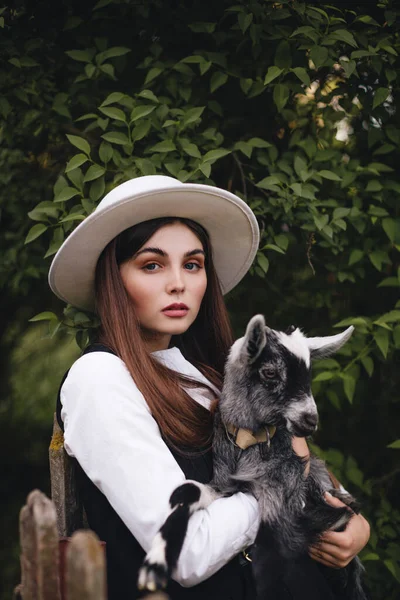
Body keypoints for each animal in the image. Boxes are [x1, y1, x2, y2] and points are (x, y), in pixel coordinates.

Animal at [139, 316, 368, 596]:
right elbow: (188, 492)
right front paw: (155, 564)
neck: (248, 444)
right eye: (270, 372)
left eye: (308, 374)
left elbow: (270, 556)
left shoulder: (284, 491)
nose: (310, 421)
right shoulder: (226, 485)